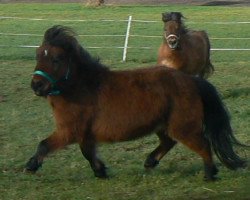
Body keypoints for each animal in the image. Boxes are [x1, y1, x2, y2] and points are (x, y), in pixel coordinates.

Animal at [25, 25, 246, 181]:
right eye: (38, 55)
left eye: (57, 58)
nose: (36, 85)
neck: (82, 87)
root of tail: (192, 80)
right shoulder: (84, 134)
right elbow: (88, 154)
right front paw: (101, 172)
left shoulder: (69, 131)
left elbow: (44, 145)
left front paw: (30, 166)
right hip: (164, 125)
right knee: (168, 142)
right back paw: (150, 162)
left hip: (184, 127)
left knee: (203, 145)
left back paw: (209, 174)